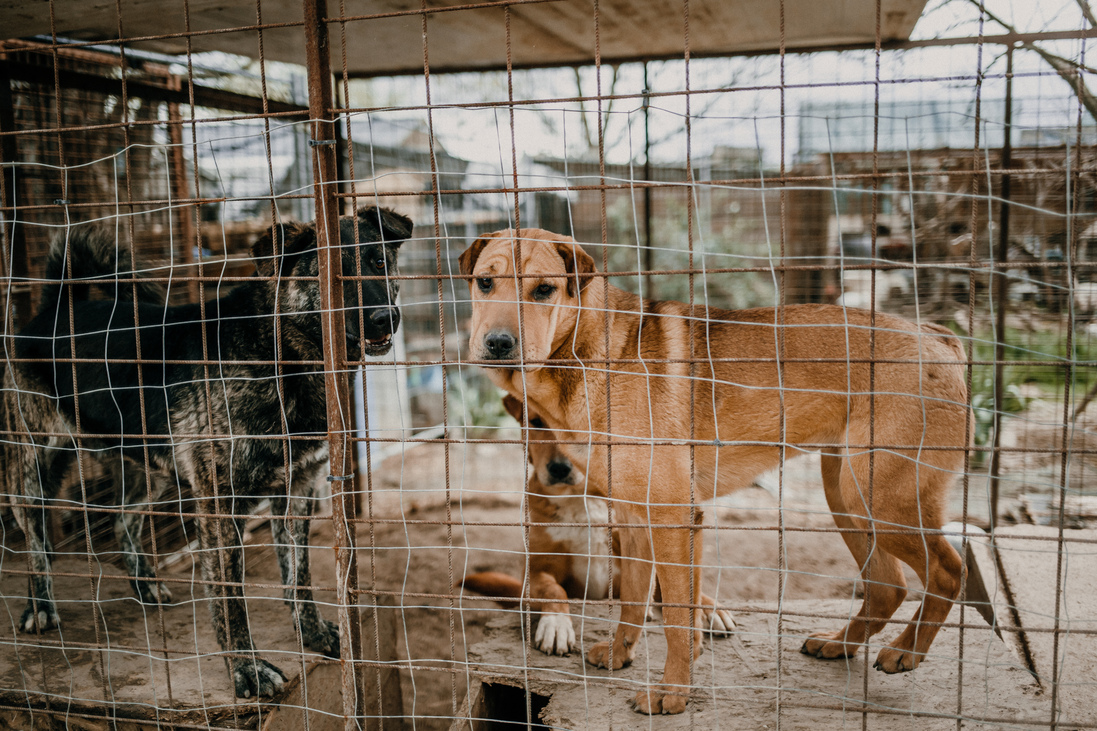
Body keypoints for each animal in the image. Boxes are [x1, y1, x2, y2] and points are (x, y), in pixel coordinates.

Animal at [4, 207, 412, 698]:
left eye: (379, 262)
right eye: (328, 273)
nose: (383, 318)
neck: (280, 353)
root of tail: (56, 306)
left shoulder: (297, 492)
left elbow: (299, 578)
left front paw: (312, 634)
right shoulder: (220, 505)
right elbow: (231, 598)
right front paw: (247, 669)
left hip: (152, 466)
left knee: (123, 516)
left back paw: (145, 584)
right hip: (34, 462)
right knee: (36, 537)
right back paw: (40, 605)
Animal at [458, 392, 732, 654]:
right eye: (536, 422)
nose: (559, 468)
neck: (582, 498)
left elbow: (669, 587)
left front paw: (708, 608)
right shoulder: (535, 571)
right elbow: (553, 589)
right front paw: (556, 624)